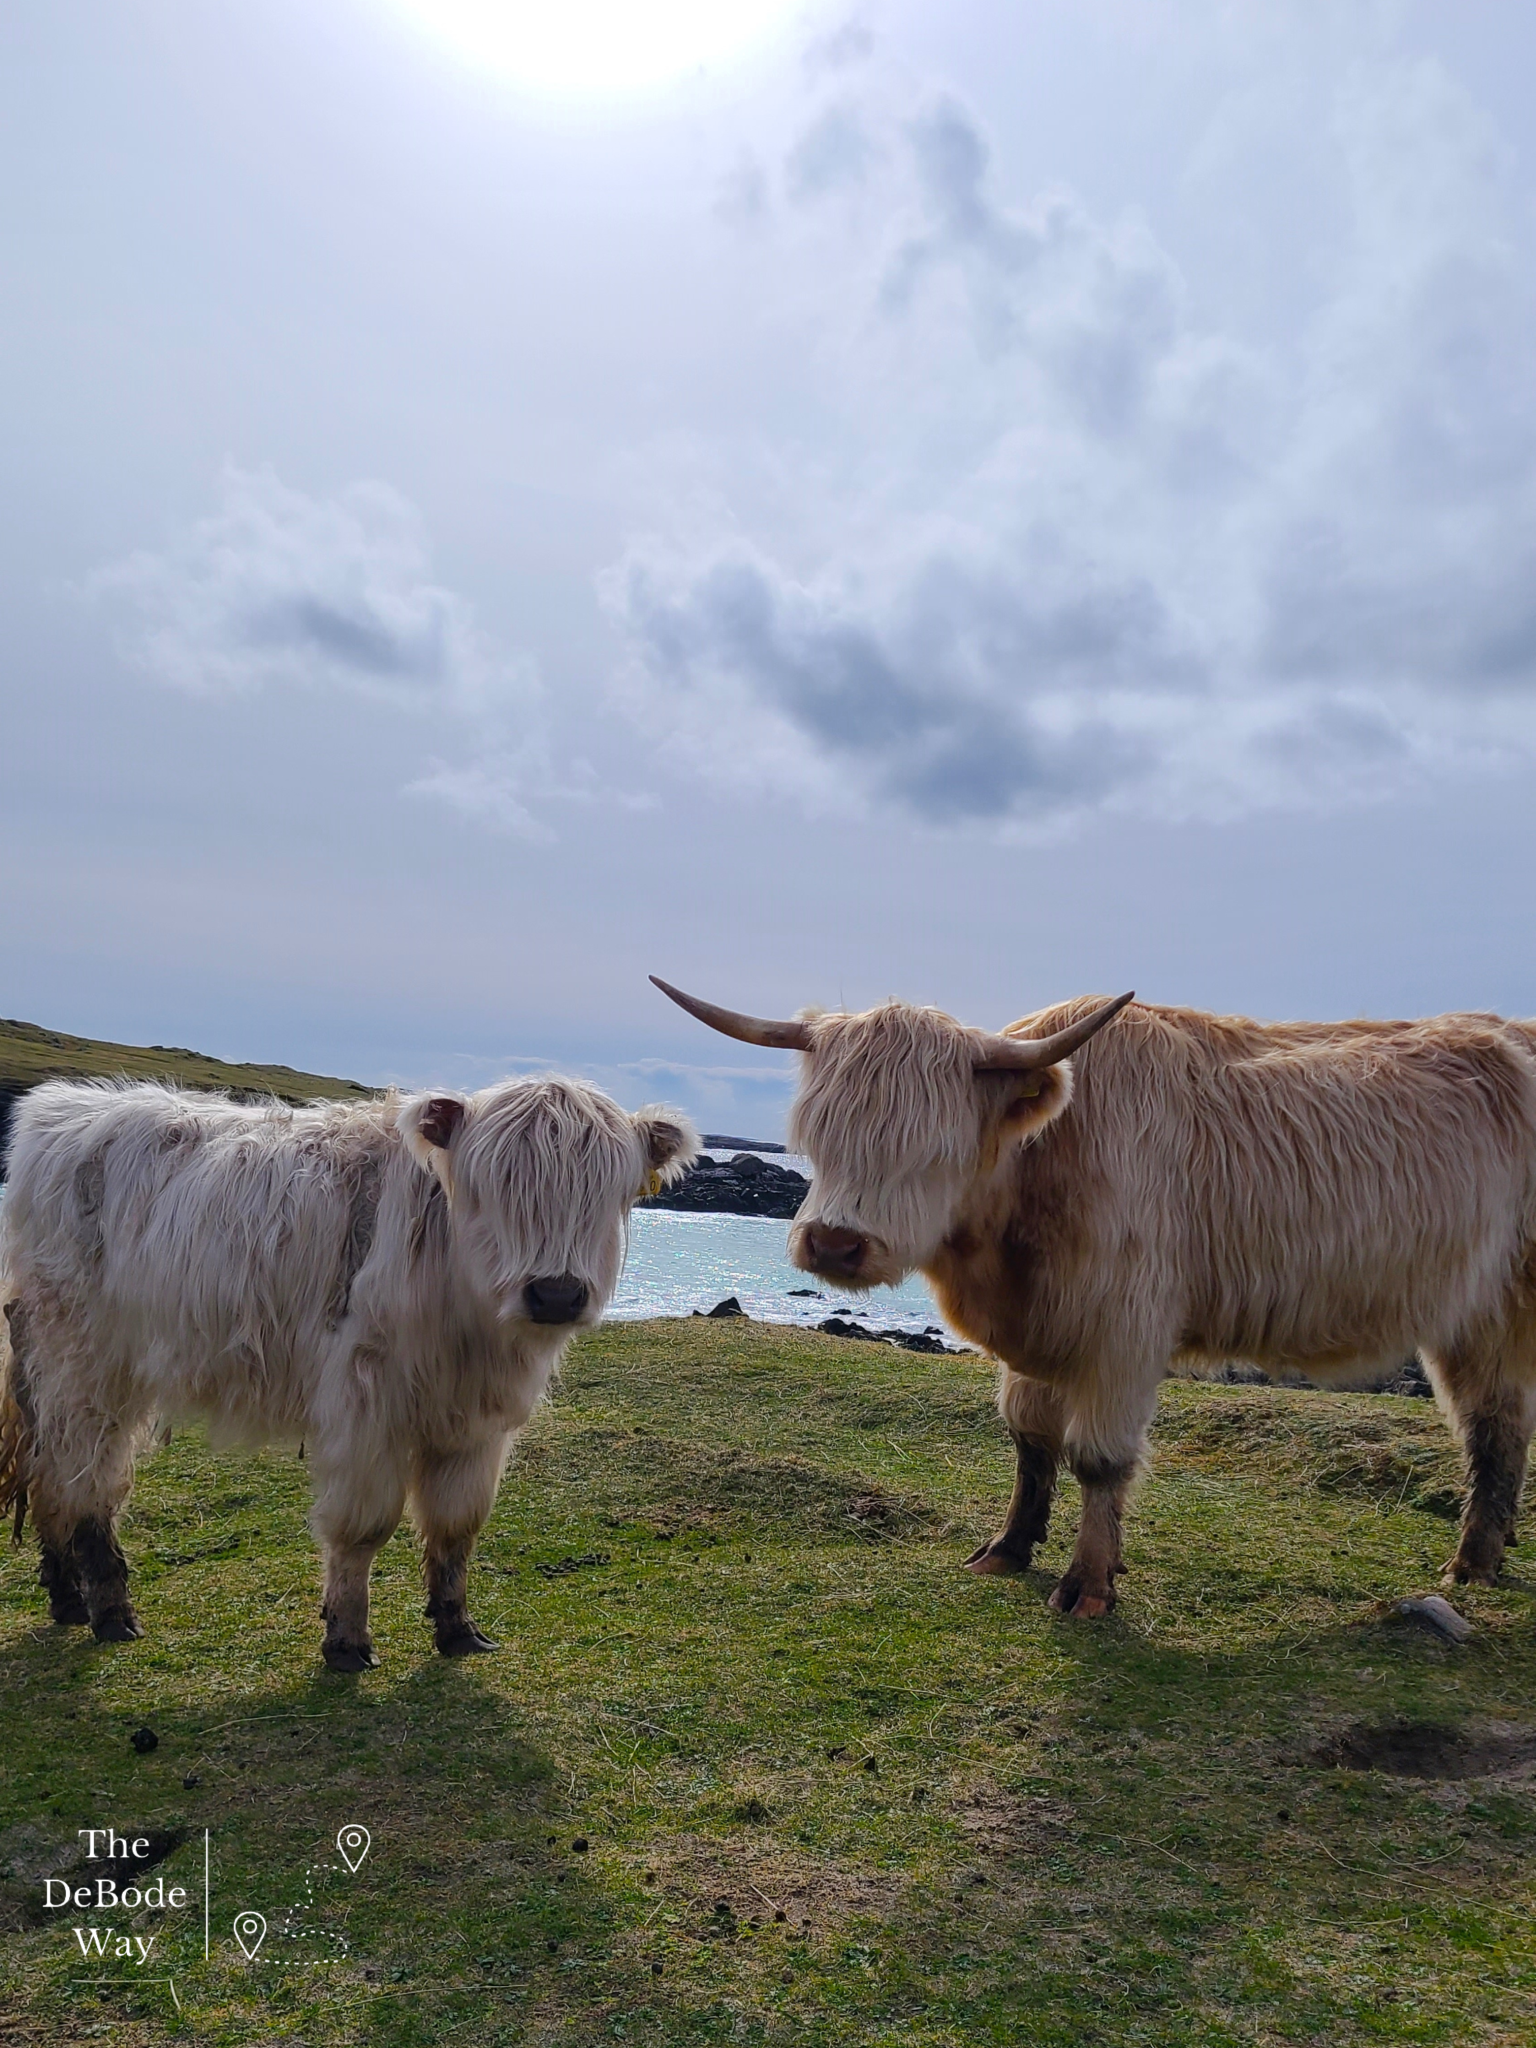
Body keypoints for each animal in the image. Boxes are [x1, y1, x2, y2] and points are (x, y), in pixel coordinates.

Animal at [0, 1075, 697, 1668]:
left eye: (607, 1193)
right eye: (489, 1188)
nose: (555, 1294)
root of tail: (60, 1110)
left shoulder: (477, 1423)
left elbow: (456, 1525)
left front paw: (458, 1630)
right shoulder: (366, 1403)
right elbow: (364, 1526)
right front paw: (346, 1641)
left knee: (47, 1471)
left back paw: (66, 1598)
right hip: (83, 1366)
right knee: (86, 1478)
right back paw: (111, 1612)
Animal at [651, 975, 1536, 1618]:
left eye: (933, 1147)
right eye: (816, 1132)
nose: (835, 1243)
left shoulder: (1124, 1331)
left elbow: (1098, 1458)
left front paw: (1088, 1585)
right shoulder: (1040, 1330)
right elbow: (1030, 1438)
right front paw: (1009, 1548)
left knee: (1492, 1425)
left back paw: (1469, 1566)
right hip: (1476, 1313)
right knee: (1494, 1421)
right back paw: (1479, 1563)